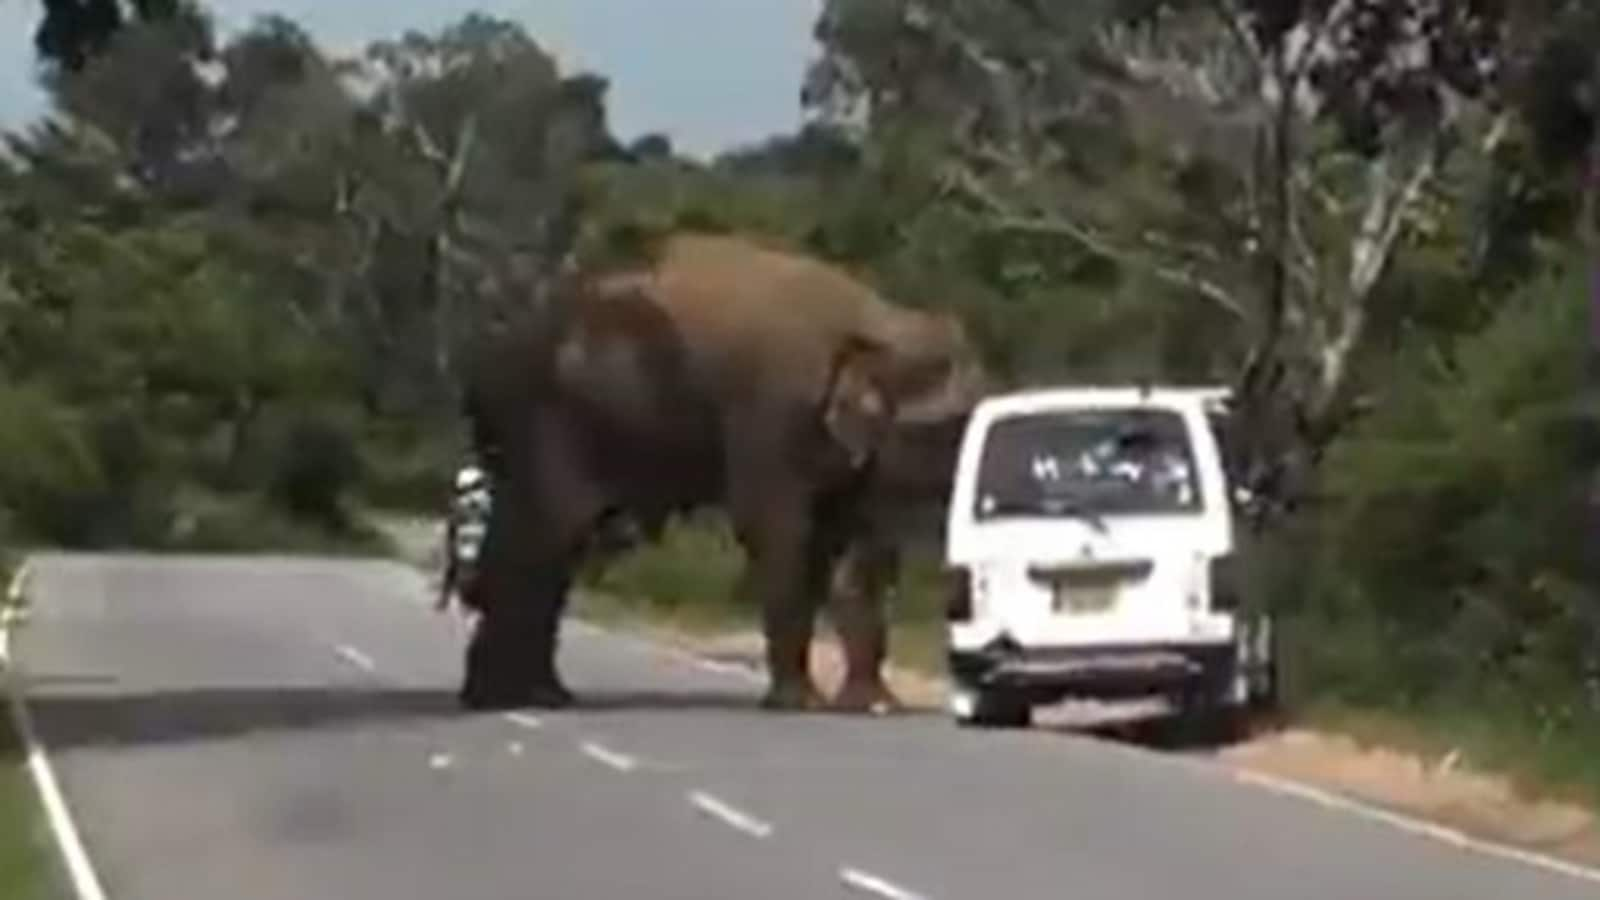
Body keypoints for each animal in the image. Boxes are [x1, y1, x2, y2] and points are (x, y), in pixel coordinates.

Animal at [454, 230, 985, 707]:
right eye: (956, 428)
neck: (881, 323)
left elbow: (852, 549)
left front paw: (873, 706)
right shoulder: (771, 415)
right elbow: (781, 533)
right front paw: (802, 703)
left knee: (543, 542)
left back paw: (531, 695)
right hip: (547, 417)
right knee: (548, 535)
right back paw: (510, 700)